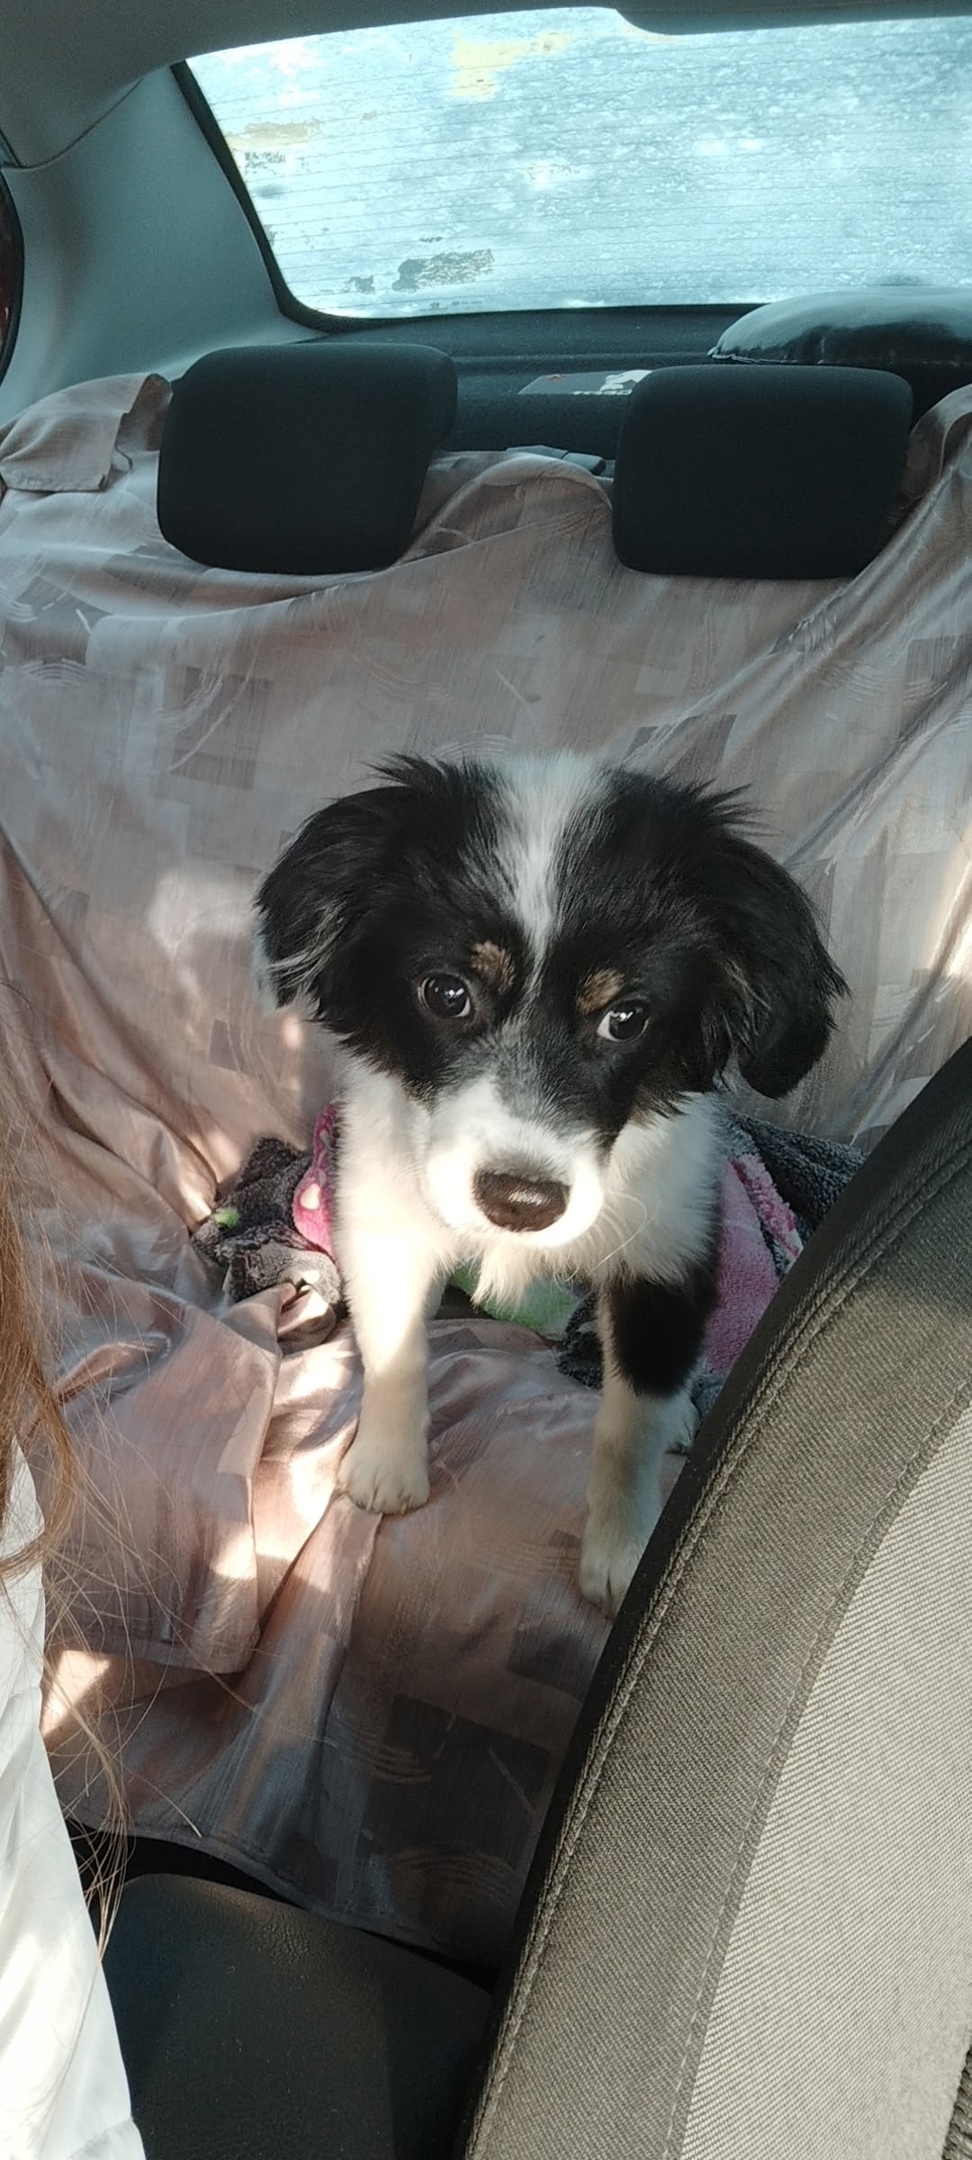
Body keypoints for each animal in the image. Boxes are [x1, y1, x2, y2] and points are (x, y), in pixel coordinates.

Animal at [255, 752, 845, 1616]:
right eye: (447, 992)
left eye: (627, 1017)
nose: (522, 1204)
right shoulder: (383, 1218)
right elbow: (393, 1350)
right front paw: (387, 1466)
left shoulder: (666, 1258)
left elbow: (629, 1430)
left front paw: (624, 1556)